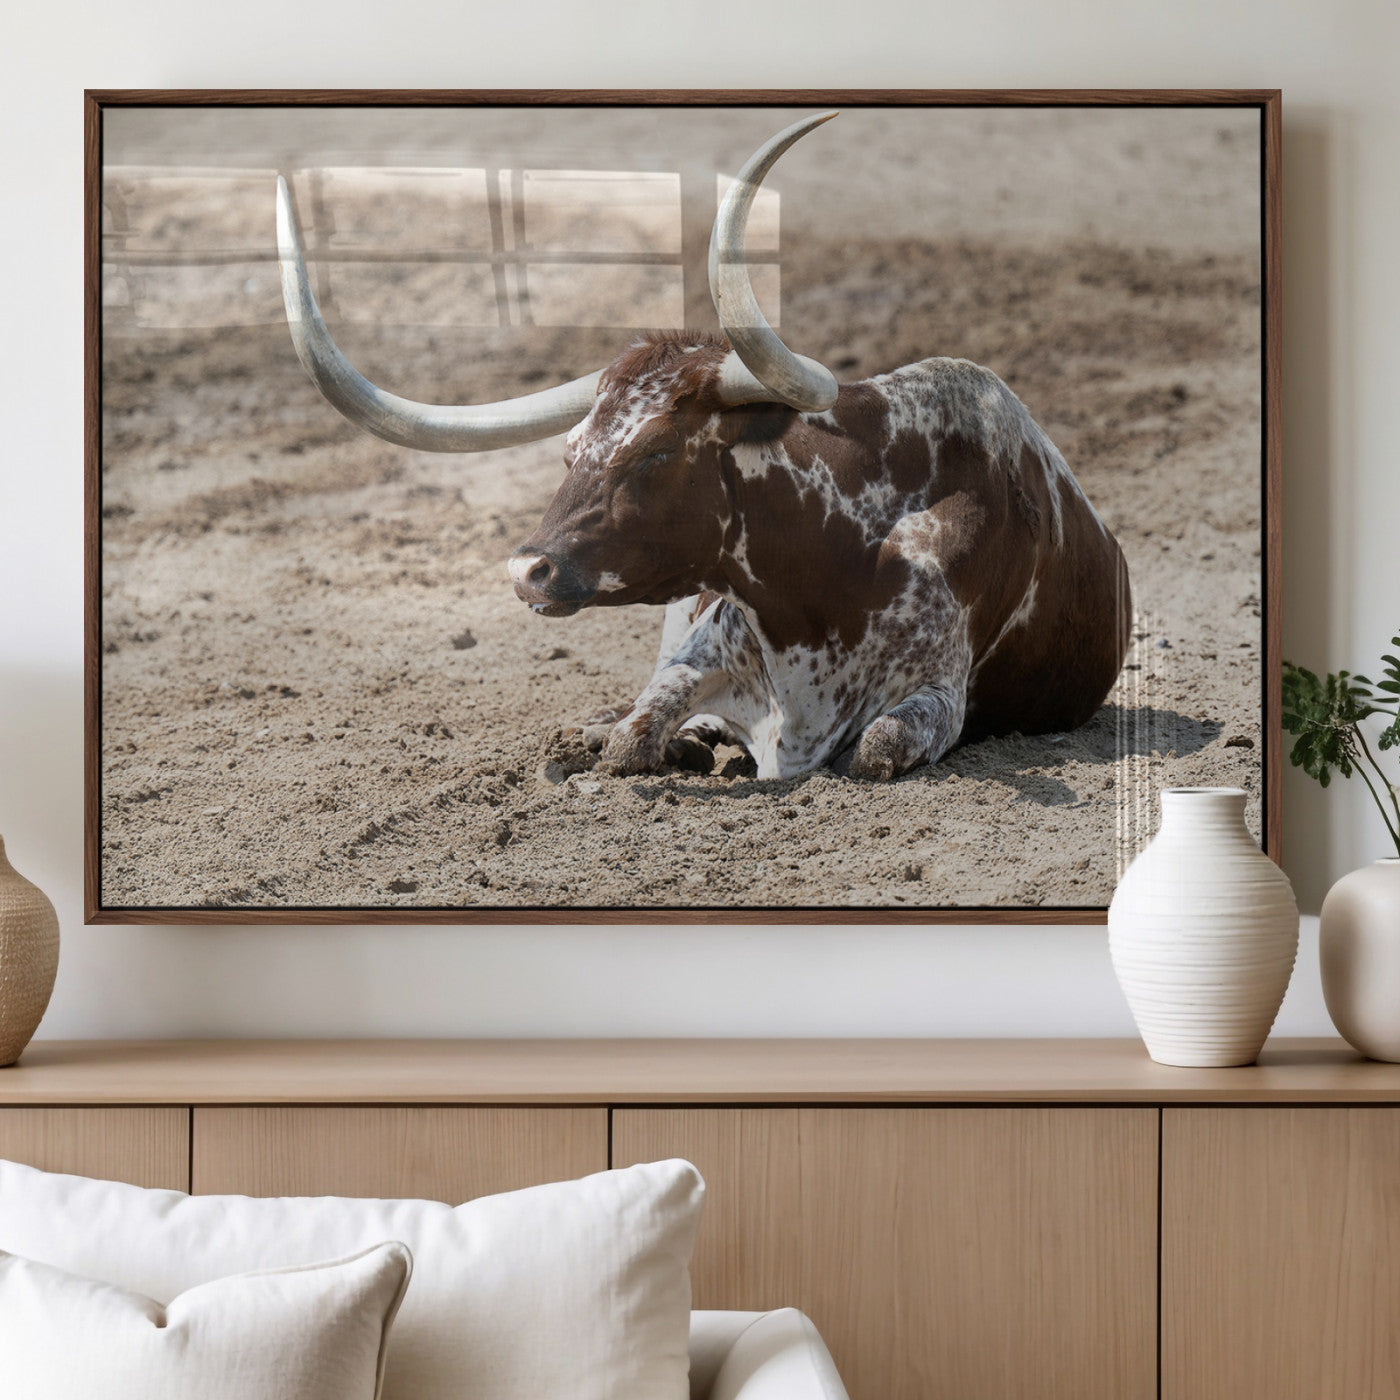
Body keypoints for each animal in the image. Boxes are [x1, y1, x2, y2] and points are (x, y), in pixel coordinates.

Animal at [277, 112, 1131, 782]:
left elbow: (879, 746)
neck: (831, 574)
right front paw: (648, 739)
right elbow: (634, 735)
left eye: (656, 452)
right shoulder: (701, 649)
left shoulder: (938, 697)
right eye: (571, 450)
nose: (527, 570)